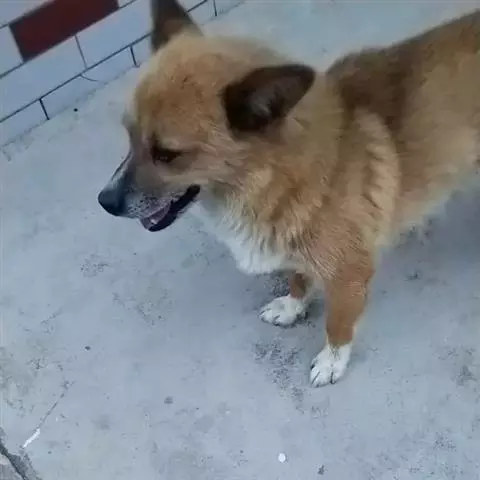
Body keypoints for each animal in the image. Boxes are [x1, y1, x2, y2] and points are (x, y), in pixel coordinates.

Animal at [98, 0, 479, 386]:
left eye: (167, 154)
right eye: (129, 134)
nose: (105, 202)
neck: (276, 175)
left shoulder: (350, 273)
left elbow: (338, 323)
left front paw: (332, 360)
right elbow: (297, 277)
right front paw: (293, 305)